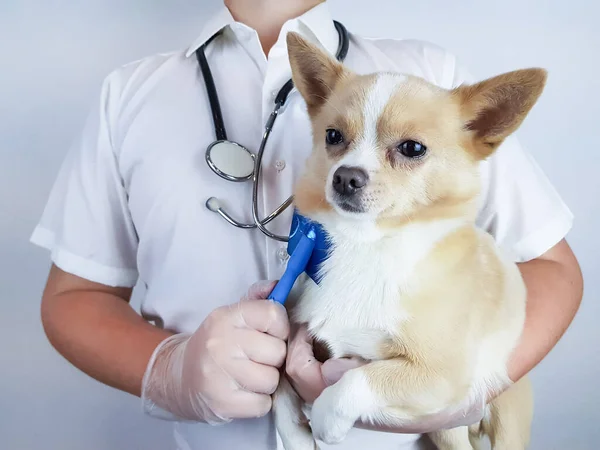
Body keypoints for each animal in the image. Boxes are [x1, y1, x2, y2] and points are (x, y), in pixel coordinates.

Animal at [274, 32, 548, 450]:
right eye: (333, 136)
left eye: (412, 148)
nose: (345, 177)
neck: (367, 243)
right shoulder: (295, 331)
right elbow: (276, 380)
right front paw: (295, 433)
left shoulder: (438, 376)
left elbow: (360, 379)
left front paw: (325, 418)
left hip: (494, 420)